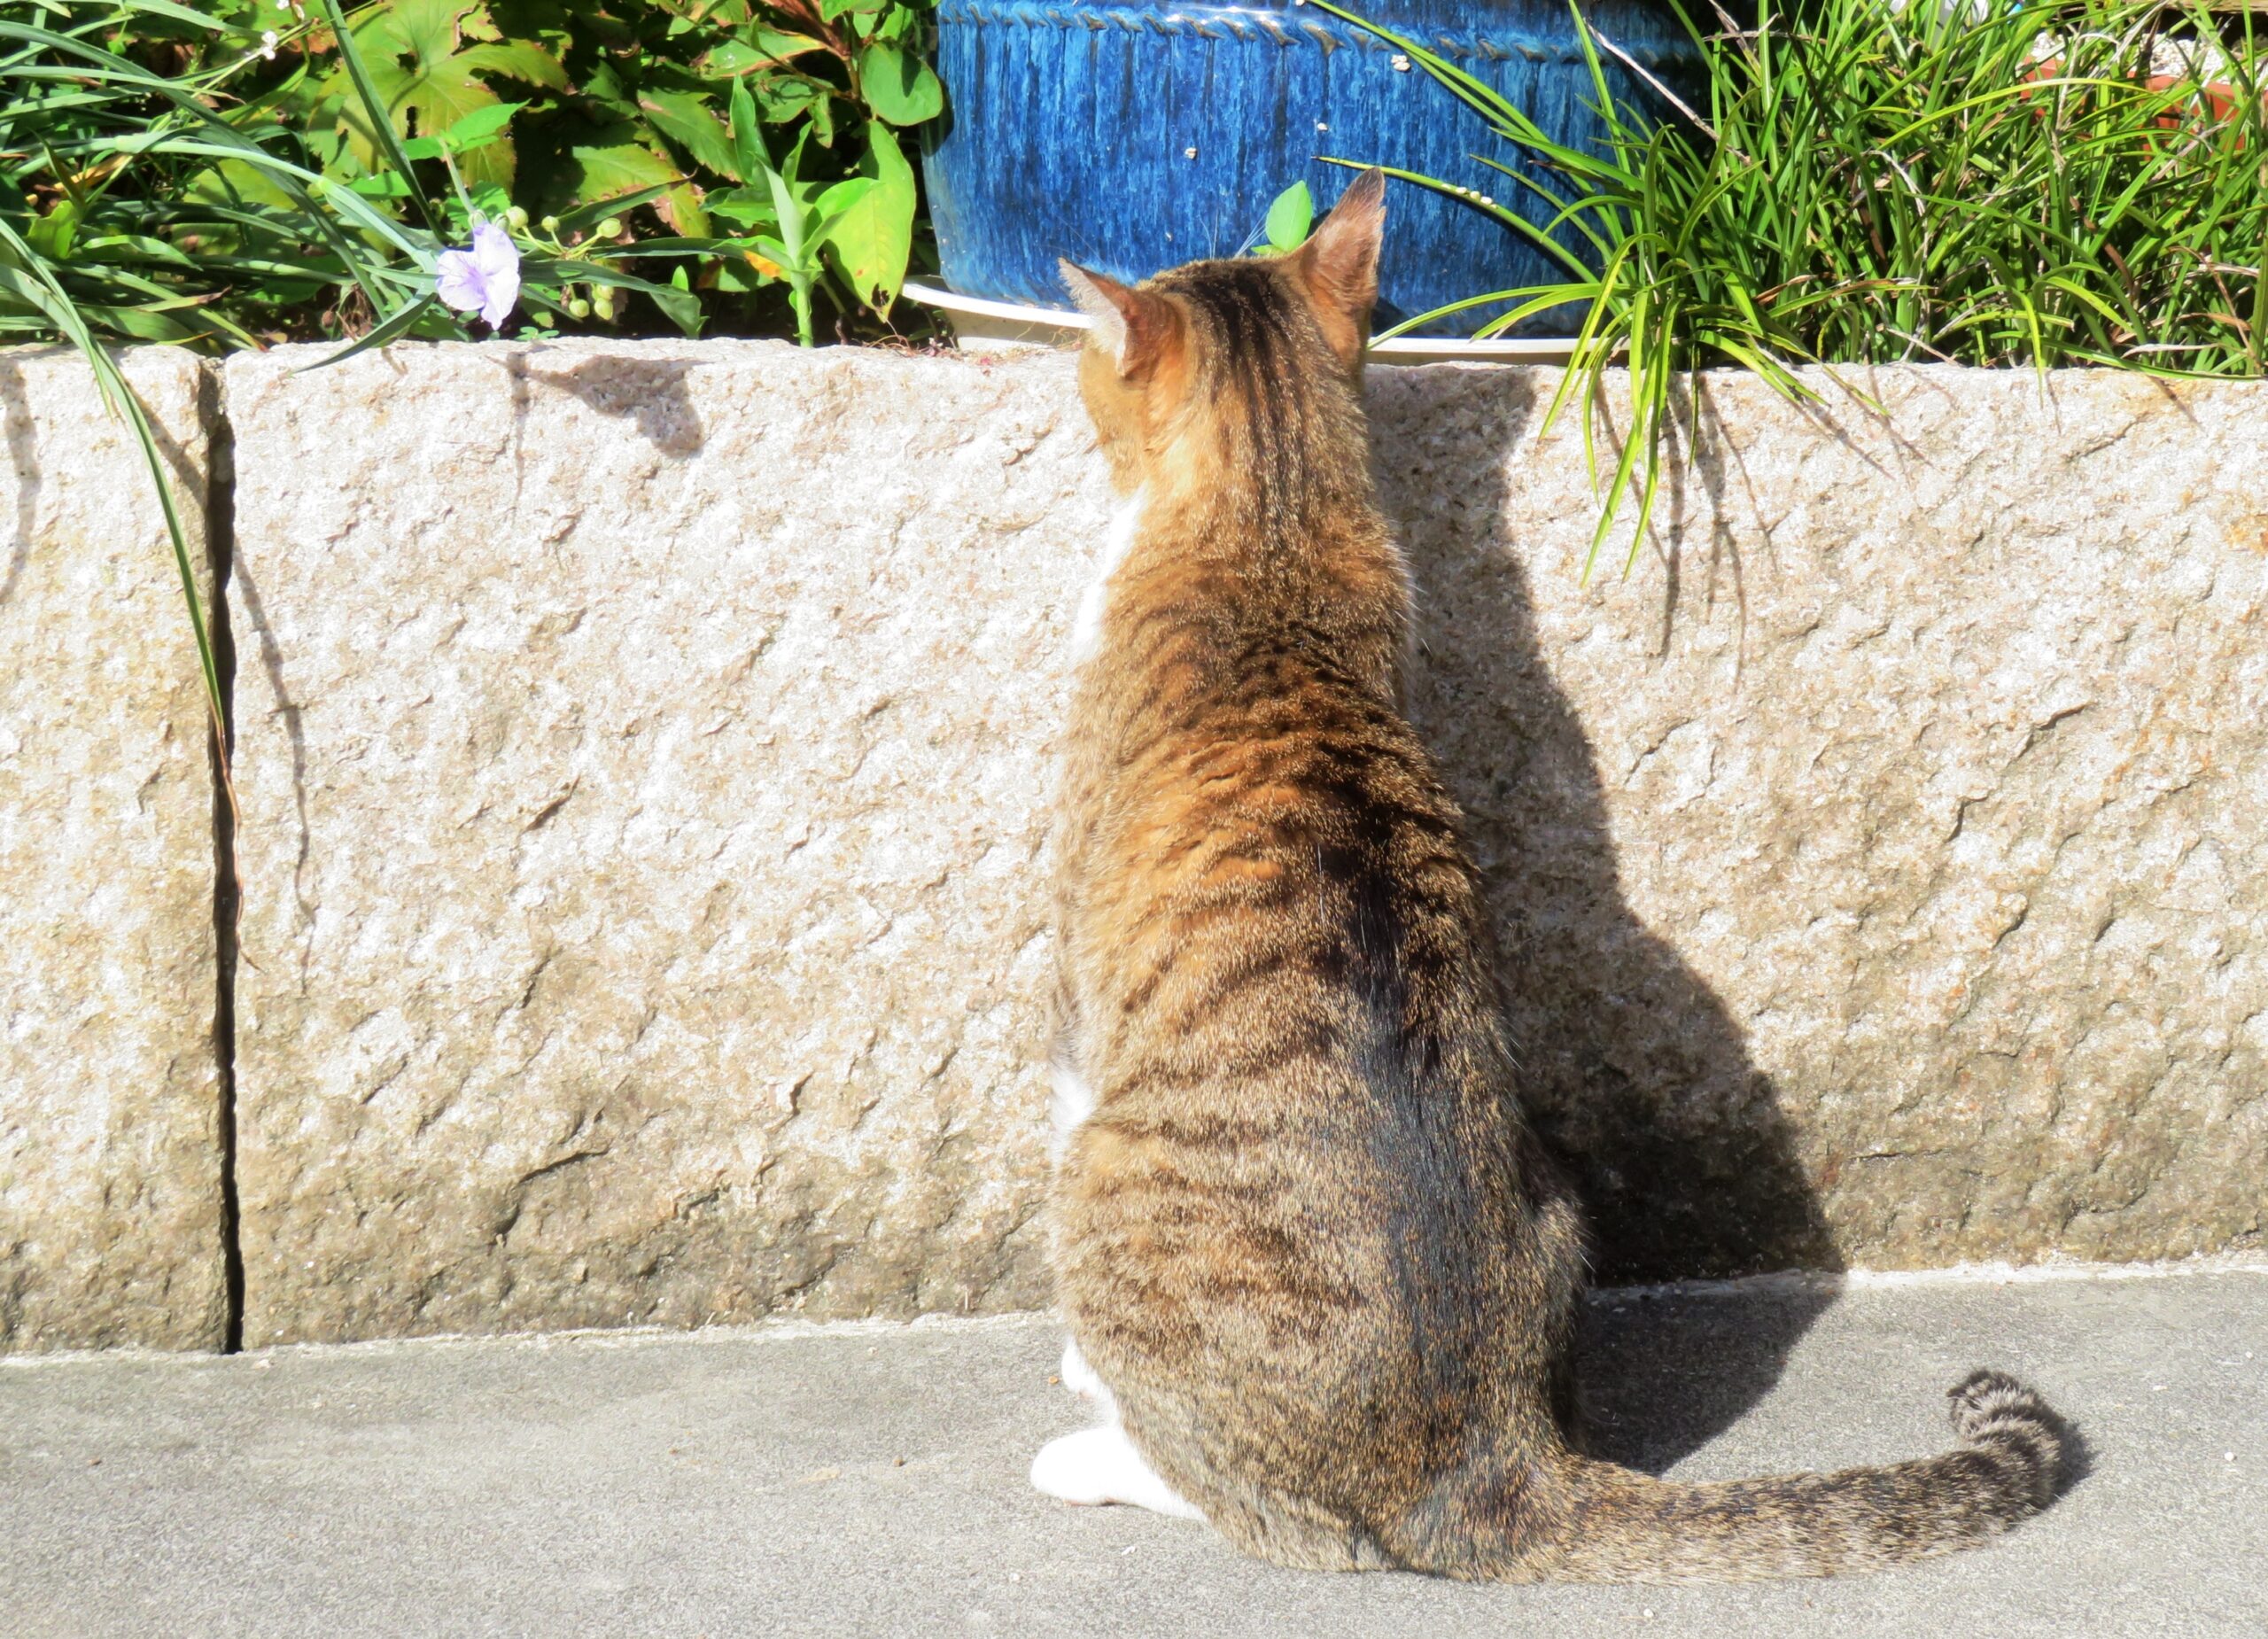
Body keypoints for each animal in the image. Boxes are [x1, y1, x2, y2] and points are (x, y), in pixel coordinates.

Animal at [1038, 173, 2068, 1587]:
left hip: (1104, 1184)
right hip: (1554, 1189)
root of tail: (1491, 1463)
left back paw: (1094, 1452)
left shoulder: (1072, 994)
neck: (1272, 537)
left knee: (1273, 1515)